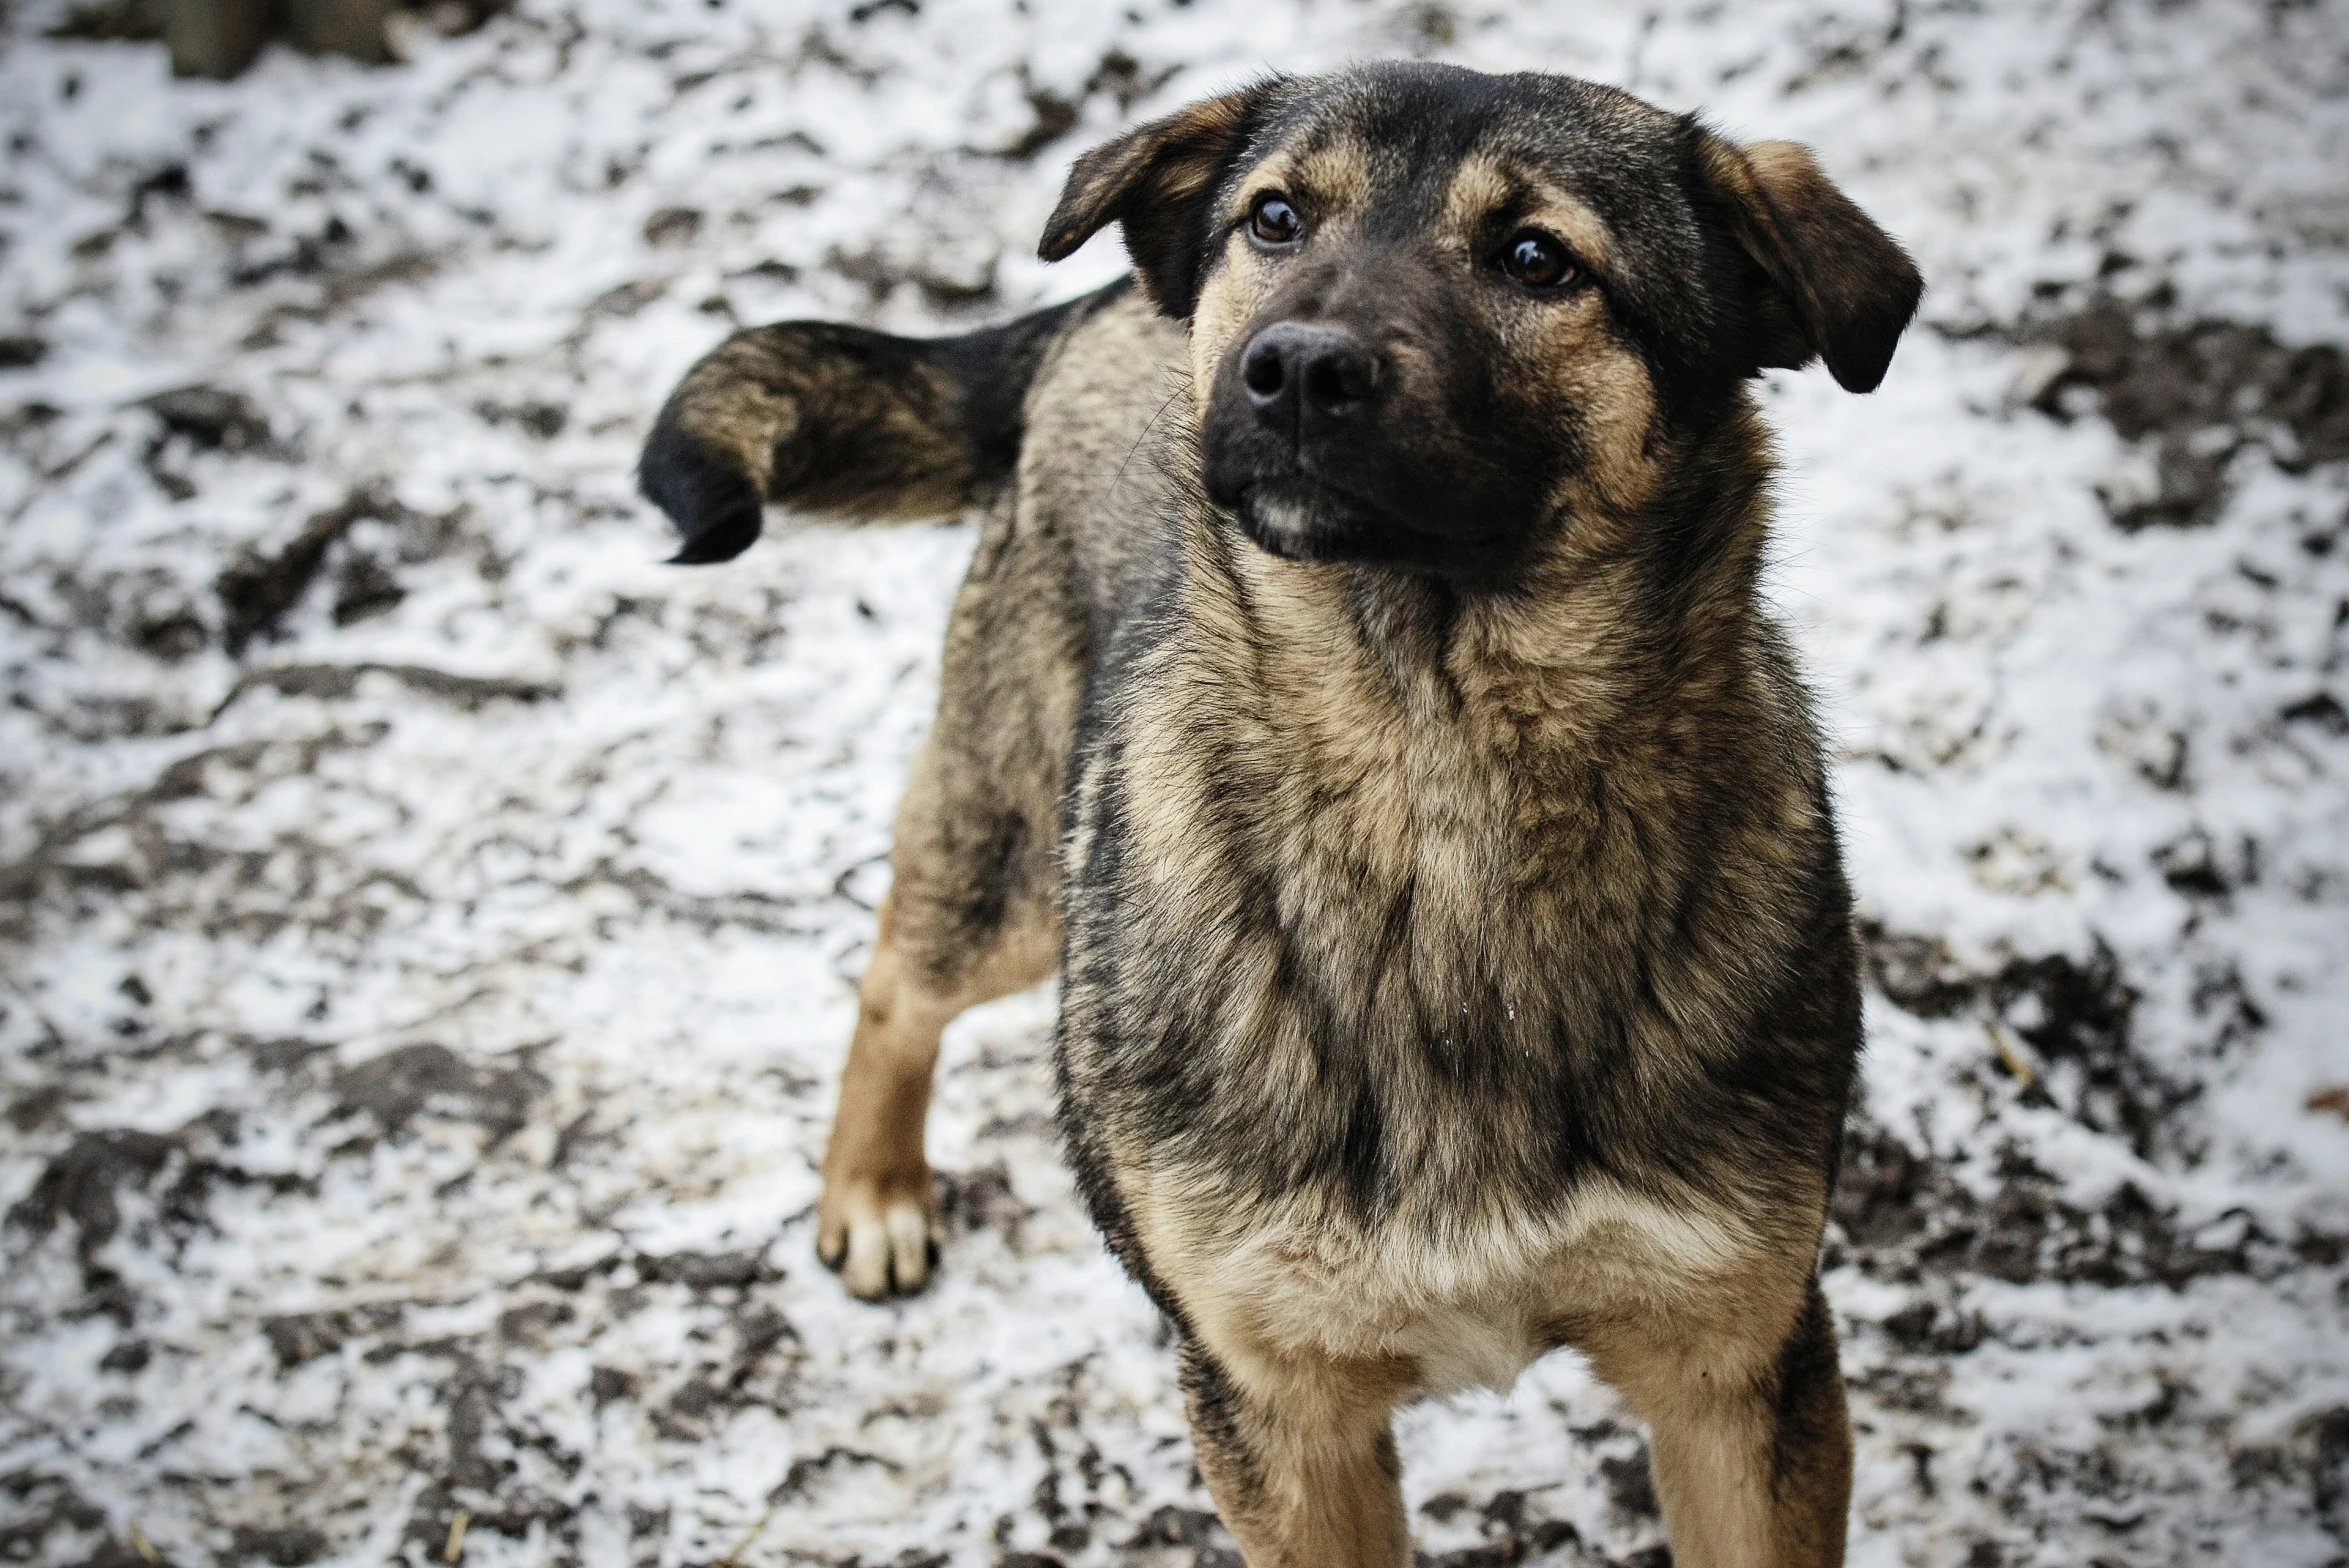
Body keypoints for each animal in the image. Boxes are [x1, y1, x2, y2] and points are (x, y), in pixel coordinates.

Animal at [634, 61, 1916, 1568]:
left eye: (1538, 258)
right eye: (1278, 218)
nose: (1296, 368)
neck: (1436, 782)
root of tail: (1108, 296)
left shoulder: (1740, 1375)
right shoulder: (1278, 1407)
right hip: (1012, 869)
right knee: (899, 969)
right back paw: (873, 1189)